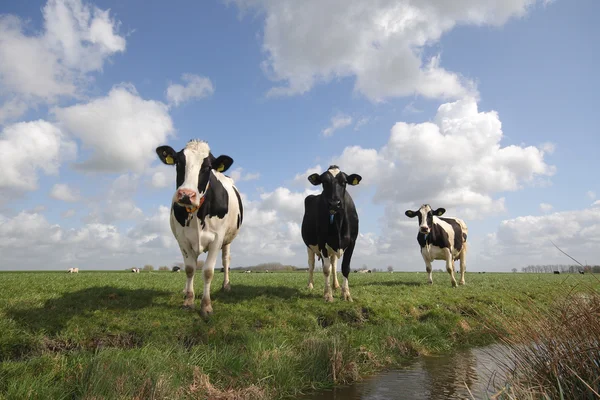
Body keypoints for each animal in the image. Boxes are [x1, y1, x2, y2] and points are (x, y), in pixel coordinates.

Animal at [155, 139, 244, 318]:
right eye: (178, 162)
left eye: (208, 167)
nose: (186, 194)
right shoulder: (182, 239)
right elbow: (190, 269)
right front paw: (189, 301)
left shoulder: (217, 239)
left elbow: (208, 271)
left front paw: (206, 306)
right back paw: (186, 290)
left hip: (227, 241)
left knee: (226, 260)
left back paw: (226, 285)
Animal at [300, 164, 360, 302]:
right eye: (324, 182)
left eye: (344, 182)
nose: (334, 203)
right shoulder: (322, 242)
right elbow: (326, 269)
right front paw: (328, 295)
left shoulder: (352, 242)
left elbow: (345, 268)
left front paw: (346, 294)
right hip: (310, 247)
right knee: (311, 265)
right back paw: (310, 285)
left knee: (334, 264)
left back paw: (336, 285)